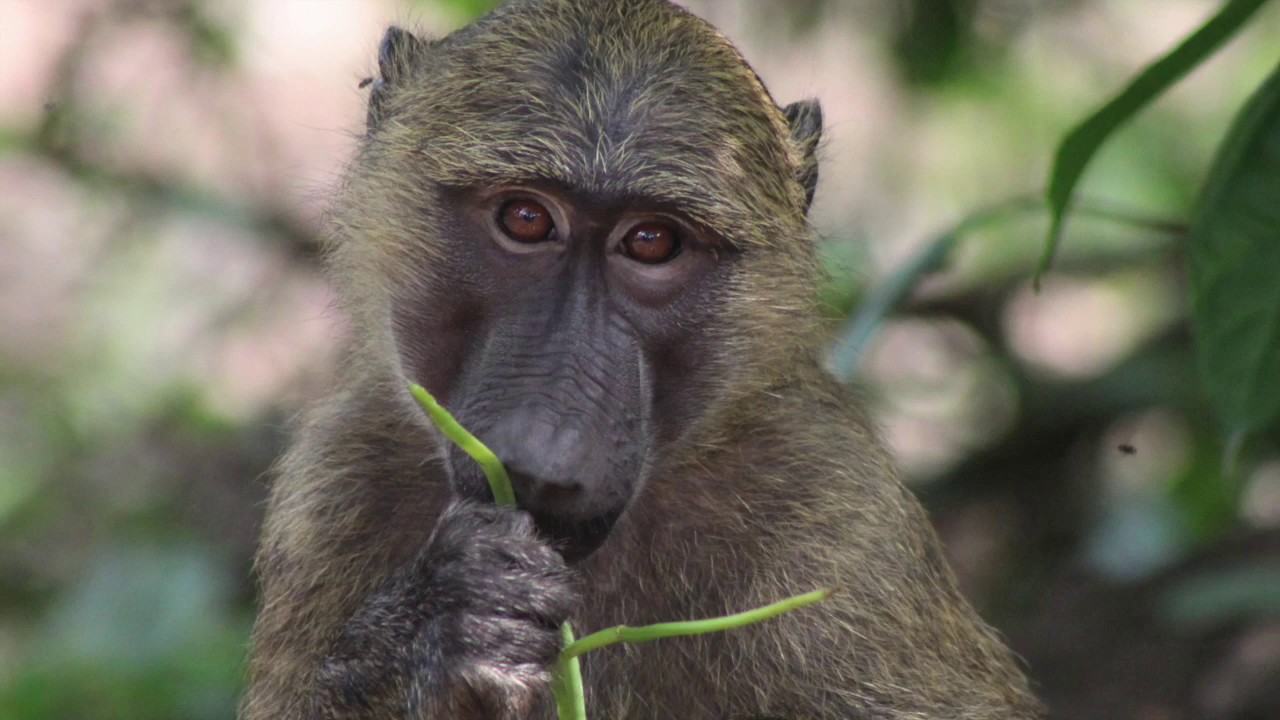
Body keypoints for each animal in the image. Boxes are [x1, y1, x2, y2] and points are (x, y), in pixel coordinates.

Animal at [242, 1, 1044, 718]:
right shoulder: (334, 484)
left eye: (652, 242)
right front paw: (441, 626)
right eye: (525, 219)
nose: (542, 461)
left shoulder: (840, 520)